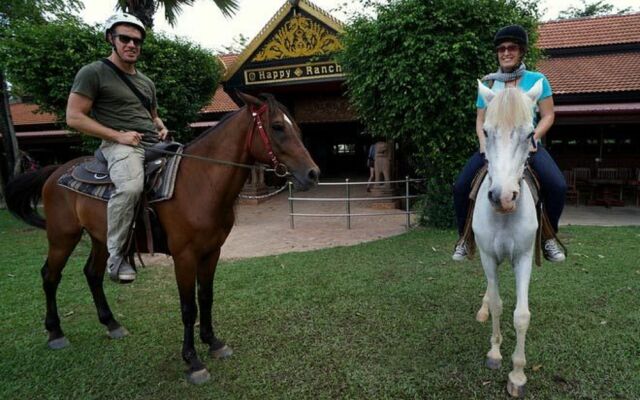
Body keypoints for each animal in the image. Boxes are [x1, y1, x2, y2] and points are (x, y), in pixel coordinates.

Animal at [6, 92, 320, 382]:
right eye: (277, 126)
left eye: (297, 128)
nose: (313, 174)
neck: (200, 182)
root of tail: (55, 171)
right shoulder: (184, 256)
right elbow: (188, 308)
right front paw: (192, 360)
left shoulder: (212, 252)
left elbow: (206, 297)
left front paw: (213, 342)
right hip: (63, 237)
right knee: (50, 276)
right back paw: (55, 333)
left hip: (102, 239)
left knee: (92, 274)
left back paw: (111, 324)